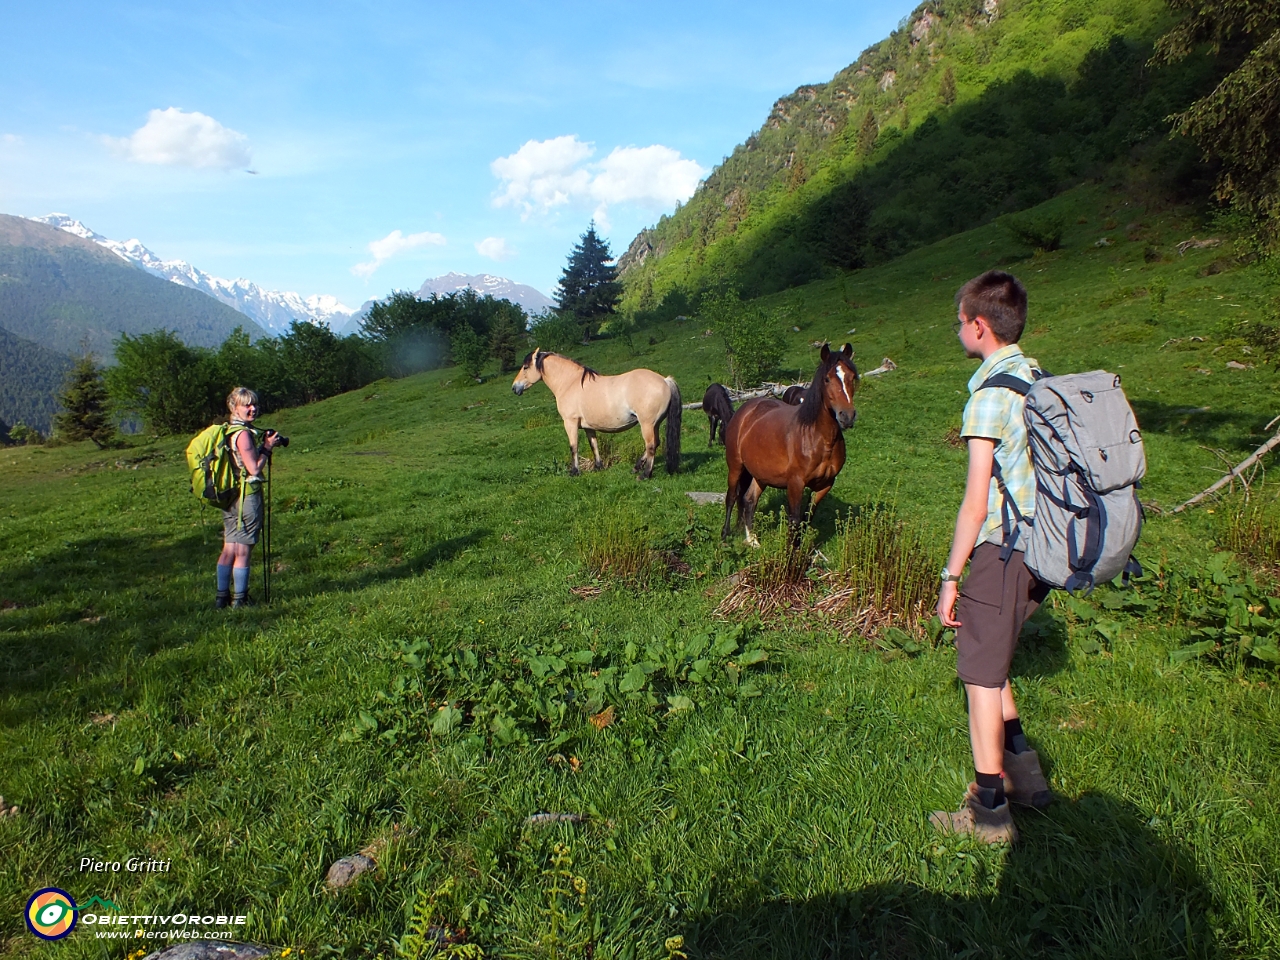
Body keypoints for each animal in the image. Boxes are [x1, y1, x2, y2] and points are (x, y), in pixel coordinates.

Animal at [514, 350, 686, 478]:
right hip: (654, 424)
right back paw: (636, 468)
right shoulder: (588, 426)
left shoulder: (570, 422)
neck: (570, 383)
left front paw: (574, 472)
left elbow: (573, 446)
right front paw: (598, 467)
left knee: (650, 445)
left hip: (647, 424)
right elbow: (594, 445)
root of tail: (665, 380)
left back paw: (644, 474)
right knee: (655, 443)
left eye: (525, 367)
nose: (515, 388)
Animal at [721, 343, 860, 545]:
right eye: (827, 379)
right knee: (731, 497)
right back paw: (725, 536)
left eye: (852, 377)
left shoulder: (824, 485)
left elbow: (806, 519)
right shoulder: (796, 484)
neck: (818, 439)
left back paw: (753, 540)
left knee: (749, 500)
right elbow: (794, 520)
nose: (847, 416)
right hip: (735, 466)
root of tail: (745, 410)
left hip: (761, 474)